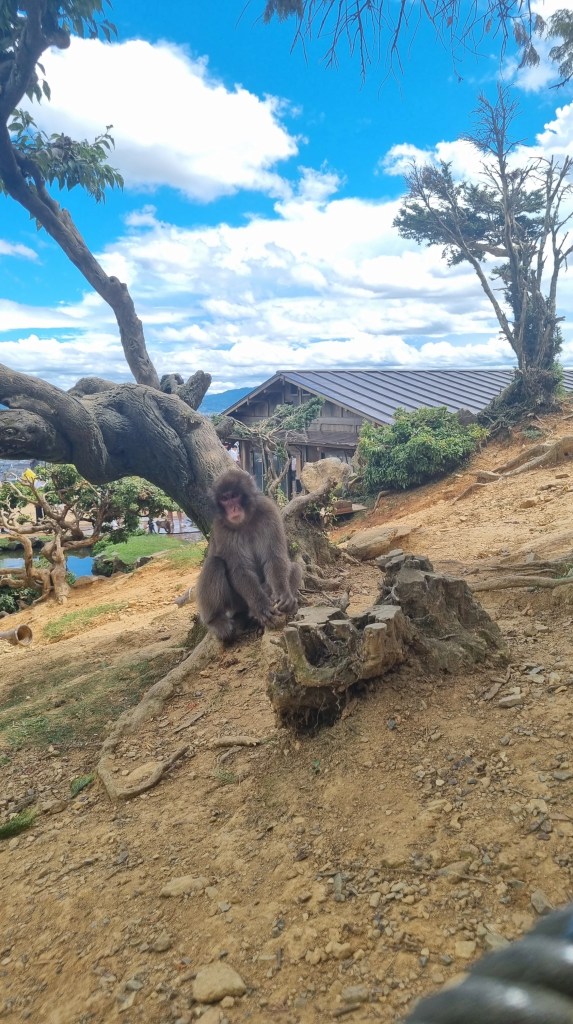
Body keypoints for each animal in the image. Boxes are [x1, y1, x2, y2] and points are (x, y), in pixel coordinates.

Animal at [196, 468, 303, 642]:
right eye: (224, 499)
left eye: (234, 496)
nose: (233, 508)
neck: (245, 522)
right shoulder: (221, 528)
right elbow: (240, 569)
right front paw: (261, 606)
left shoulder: (268, 510)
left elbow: (274, 558)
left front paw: (283, 595)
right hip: (236, 602)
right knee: (214, 563)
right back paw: (216, 620)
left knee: (295, 567)